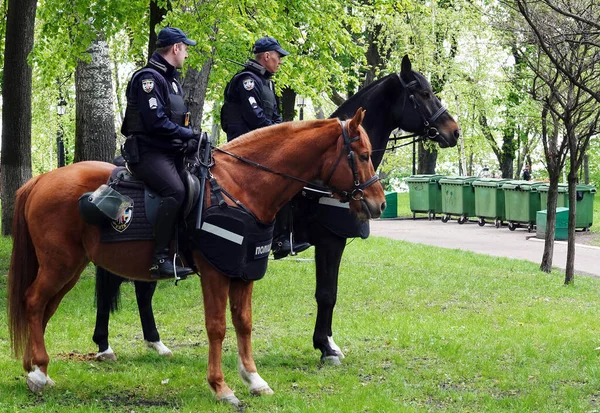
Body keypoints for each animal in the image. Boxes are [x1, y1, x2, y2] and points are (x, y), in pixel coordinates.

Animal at [5, 109, 384, 406]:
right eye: (364, 155)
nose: (378, 203)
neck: (242, 186)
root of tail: (40, 180)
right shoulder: (215, 272)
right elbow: (217, 327)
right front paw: (221, 387)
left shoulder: (243, 271)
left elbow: (244, 323)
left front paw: (254, 379)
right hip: (59, 265)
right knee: (34, 301)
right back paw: (38, 372)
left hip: (68, 269)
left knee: (41, 308)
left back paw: (35, 368)